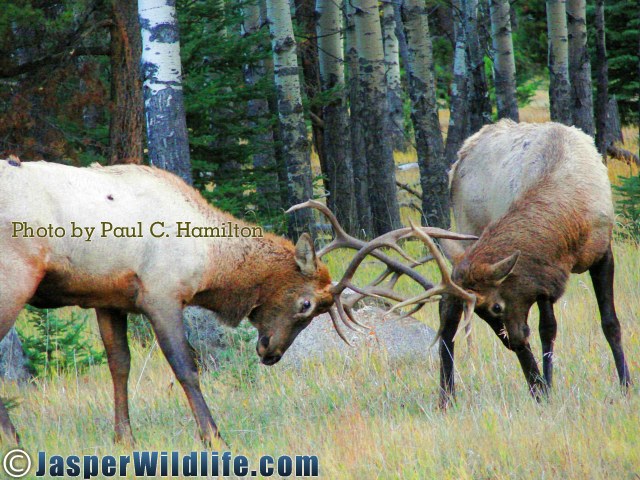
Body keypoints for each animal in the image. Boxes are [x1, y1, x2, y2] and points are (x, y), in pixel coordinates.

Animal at [0, 159, 472, 444]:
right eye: (306, 305)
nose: (270, 352)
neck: (211, 261)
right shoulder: (161, 294)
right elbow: (185, 367)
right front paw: (213, 435)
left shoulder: (109, 297)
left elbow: (120, 366)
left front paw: (124, 439)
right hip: (14, 277)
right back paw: (14, 438)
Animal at [436, 121, 632, 404]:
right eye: (483, 313)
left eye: (495, 307)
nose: (513, 343)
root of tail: (461, 155)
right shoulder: (544, 275)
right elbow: (547, 330)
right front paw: (547, 387)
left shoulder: (602, 253)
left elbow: (610, 323)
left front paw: (626, 384)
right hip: (465, 233)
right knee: (447, 308)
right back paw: (448, 395)